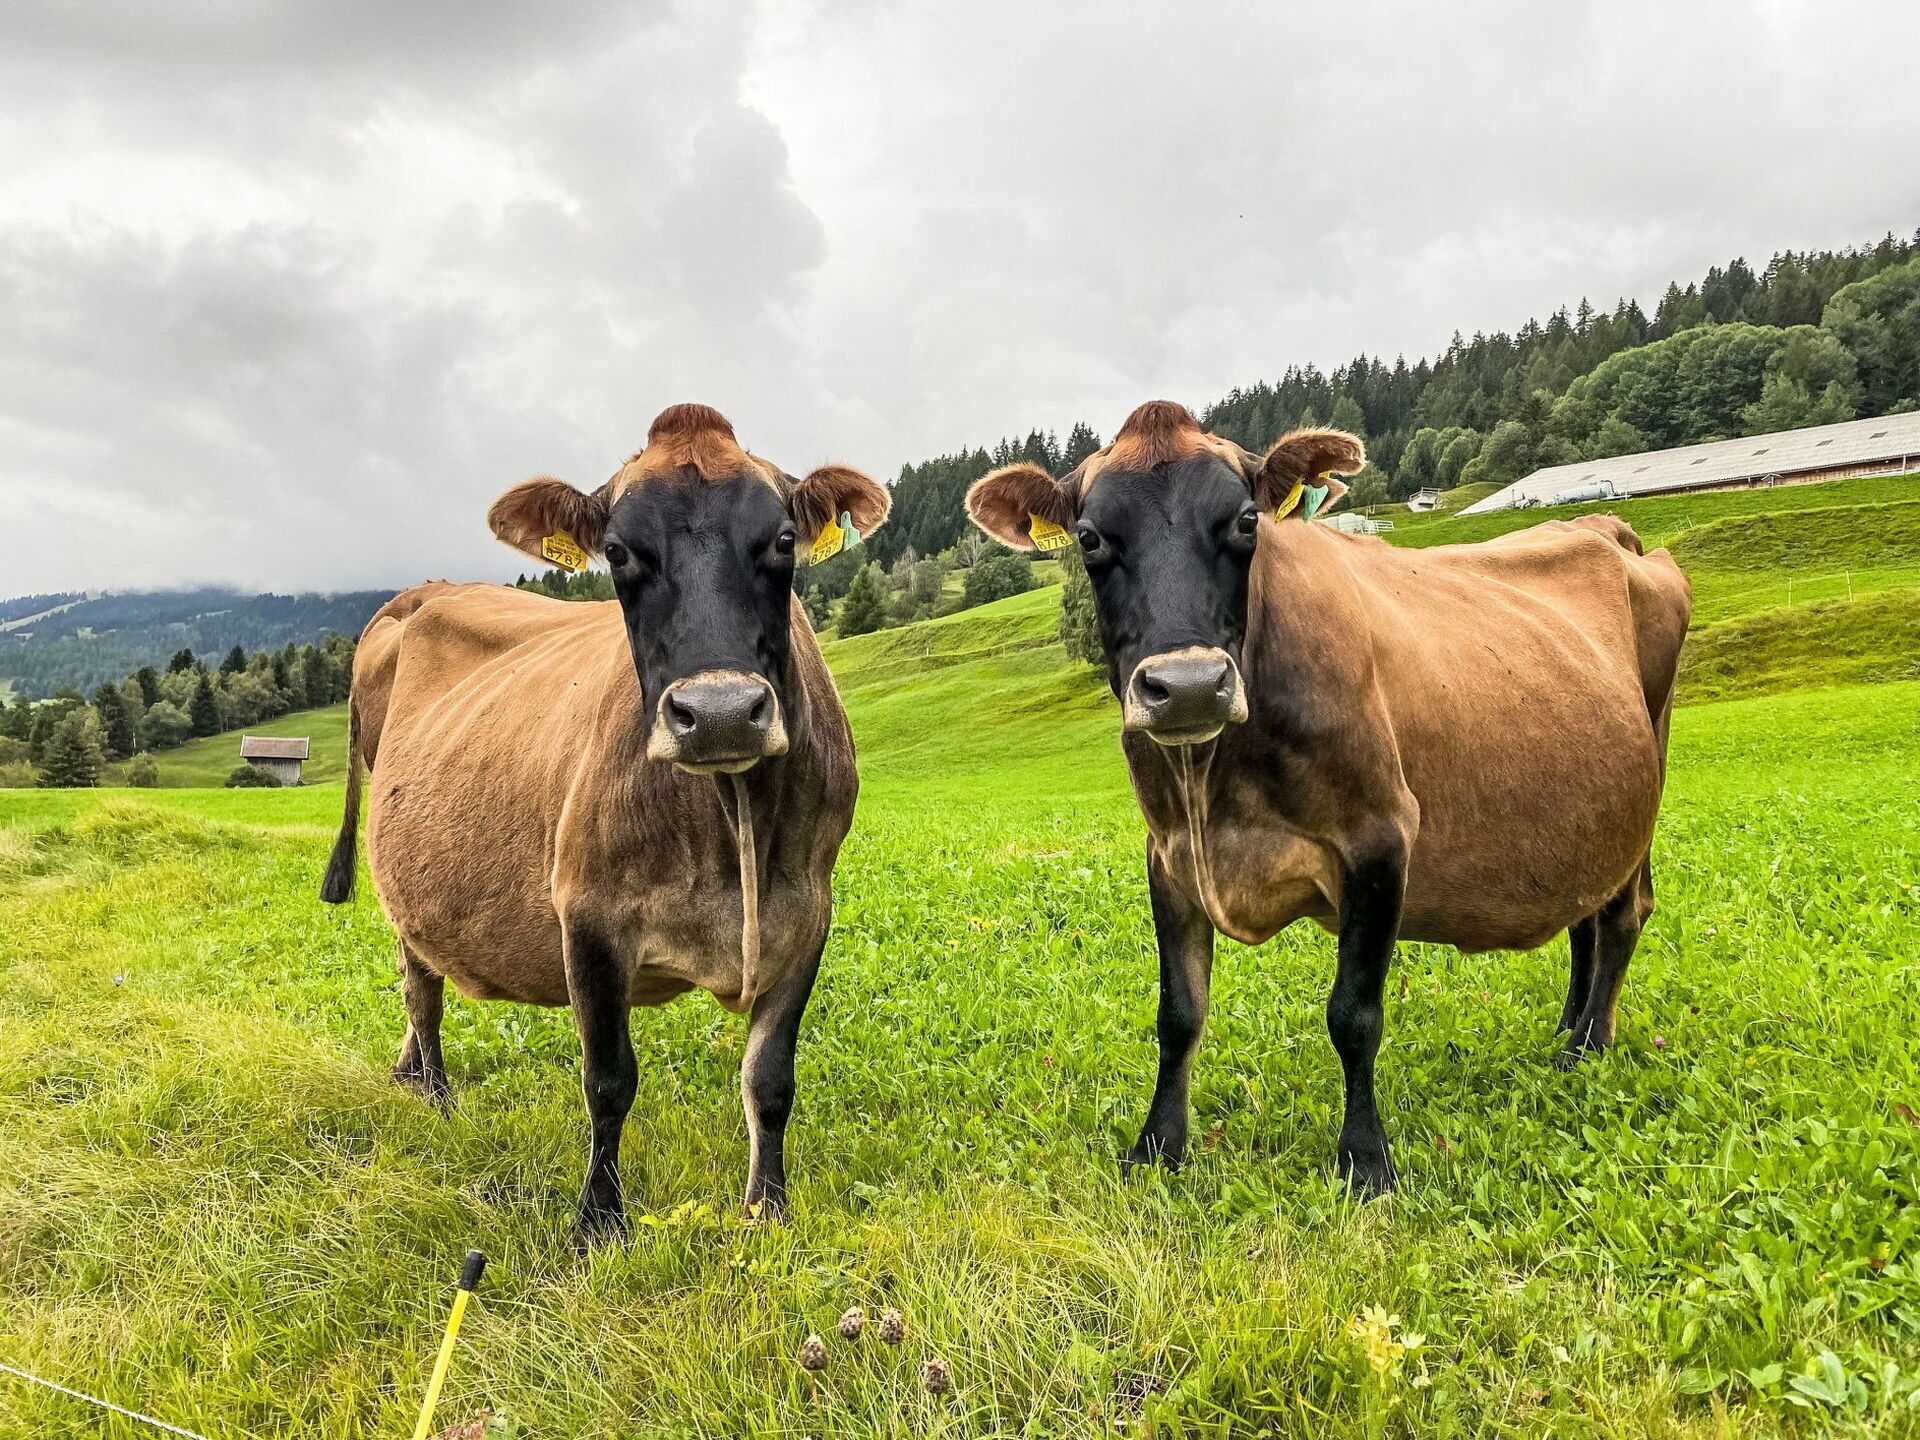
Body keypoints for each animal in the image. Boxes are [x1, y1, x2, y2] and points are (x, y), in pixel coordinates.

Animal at [320, 403, 889, 1242]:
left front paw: (768, 1209)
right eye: (618, 552)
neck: (732, 820)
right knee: (422, 990)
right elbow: (609, 1080)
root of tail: (420, 592)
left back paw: (406, 1073)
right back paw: (438, 1096)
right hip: (406, 889)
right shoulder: (587, 914)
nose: (720, 712)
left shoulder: (809, 909)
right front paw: (598, 1222)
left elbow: (771, 1079)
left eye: (785, 539)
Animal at [965, 401, 1691, 1195]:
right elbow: (1179, 1013)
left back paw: (1586, 1047)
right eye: (1091, 537)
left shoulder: (1379, 837)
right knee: (1586, 912)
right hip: (1586, 815)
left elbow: (1354, 1014)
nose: (1187, 686)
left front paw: (1365, 1159)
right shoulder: (1169, 854)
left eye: (1247, 520)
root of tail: (1603, 527)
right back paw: (1570, 1029)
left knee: (1623, 915)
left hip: (1645, 786)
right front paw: (1158, 1146)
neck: (1215, 788)